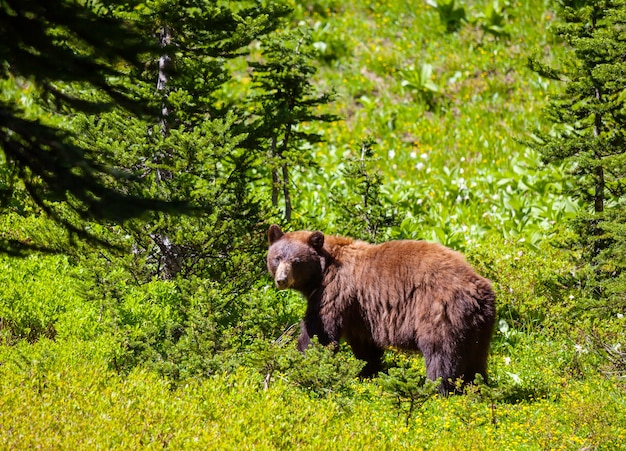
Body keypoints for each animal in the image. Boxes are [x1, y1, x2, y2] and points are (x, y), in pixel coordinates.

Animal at [266, 224, 494, 394]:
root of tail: (477, 289)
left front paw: (299, 363)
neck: (323, 270)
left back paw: (437, 390)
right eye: (277, 257)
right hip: (480, 326)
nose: (281, 279)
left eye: (296, 261)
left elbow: (319, 333)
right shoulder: (361, 313)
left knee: (442, 356)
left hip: (441, 313)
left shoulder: (334, 293)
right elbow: (366, 347)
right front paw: (367, 373)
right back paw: (476, 389)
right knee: (476, 361)